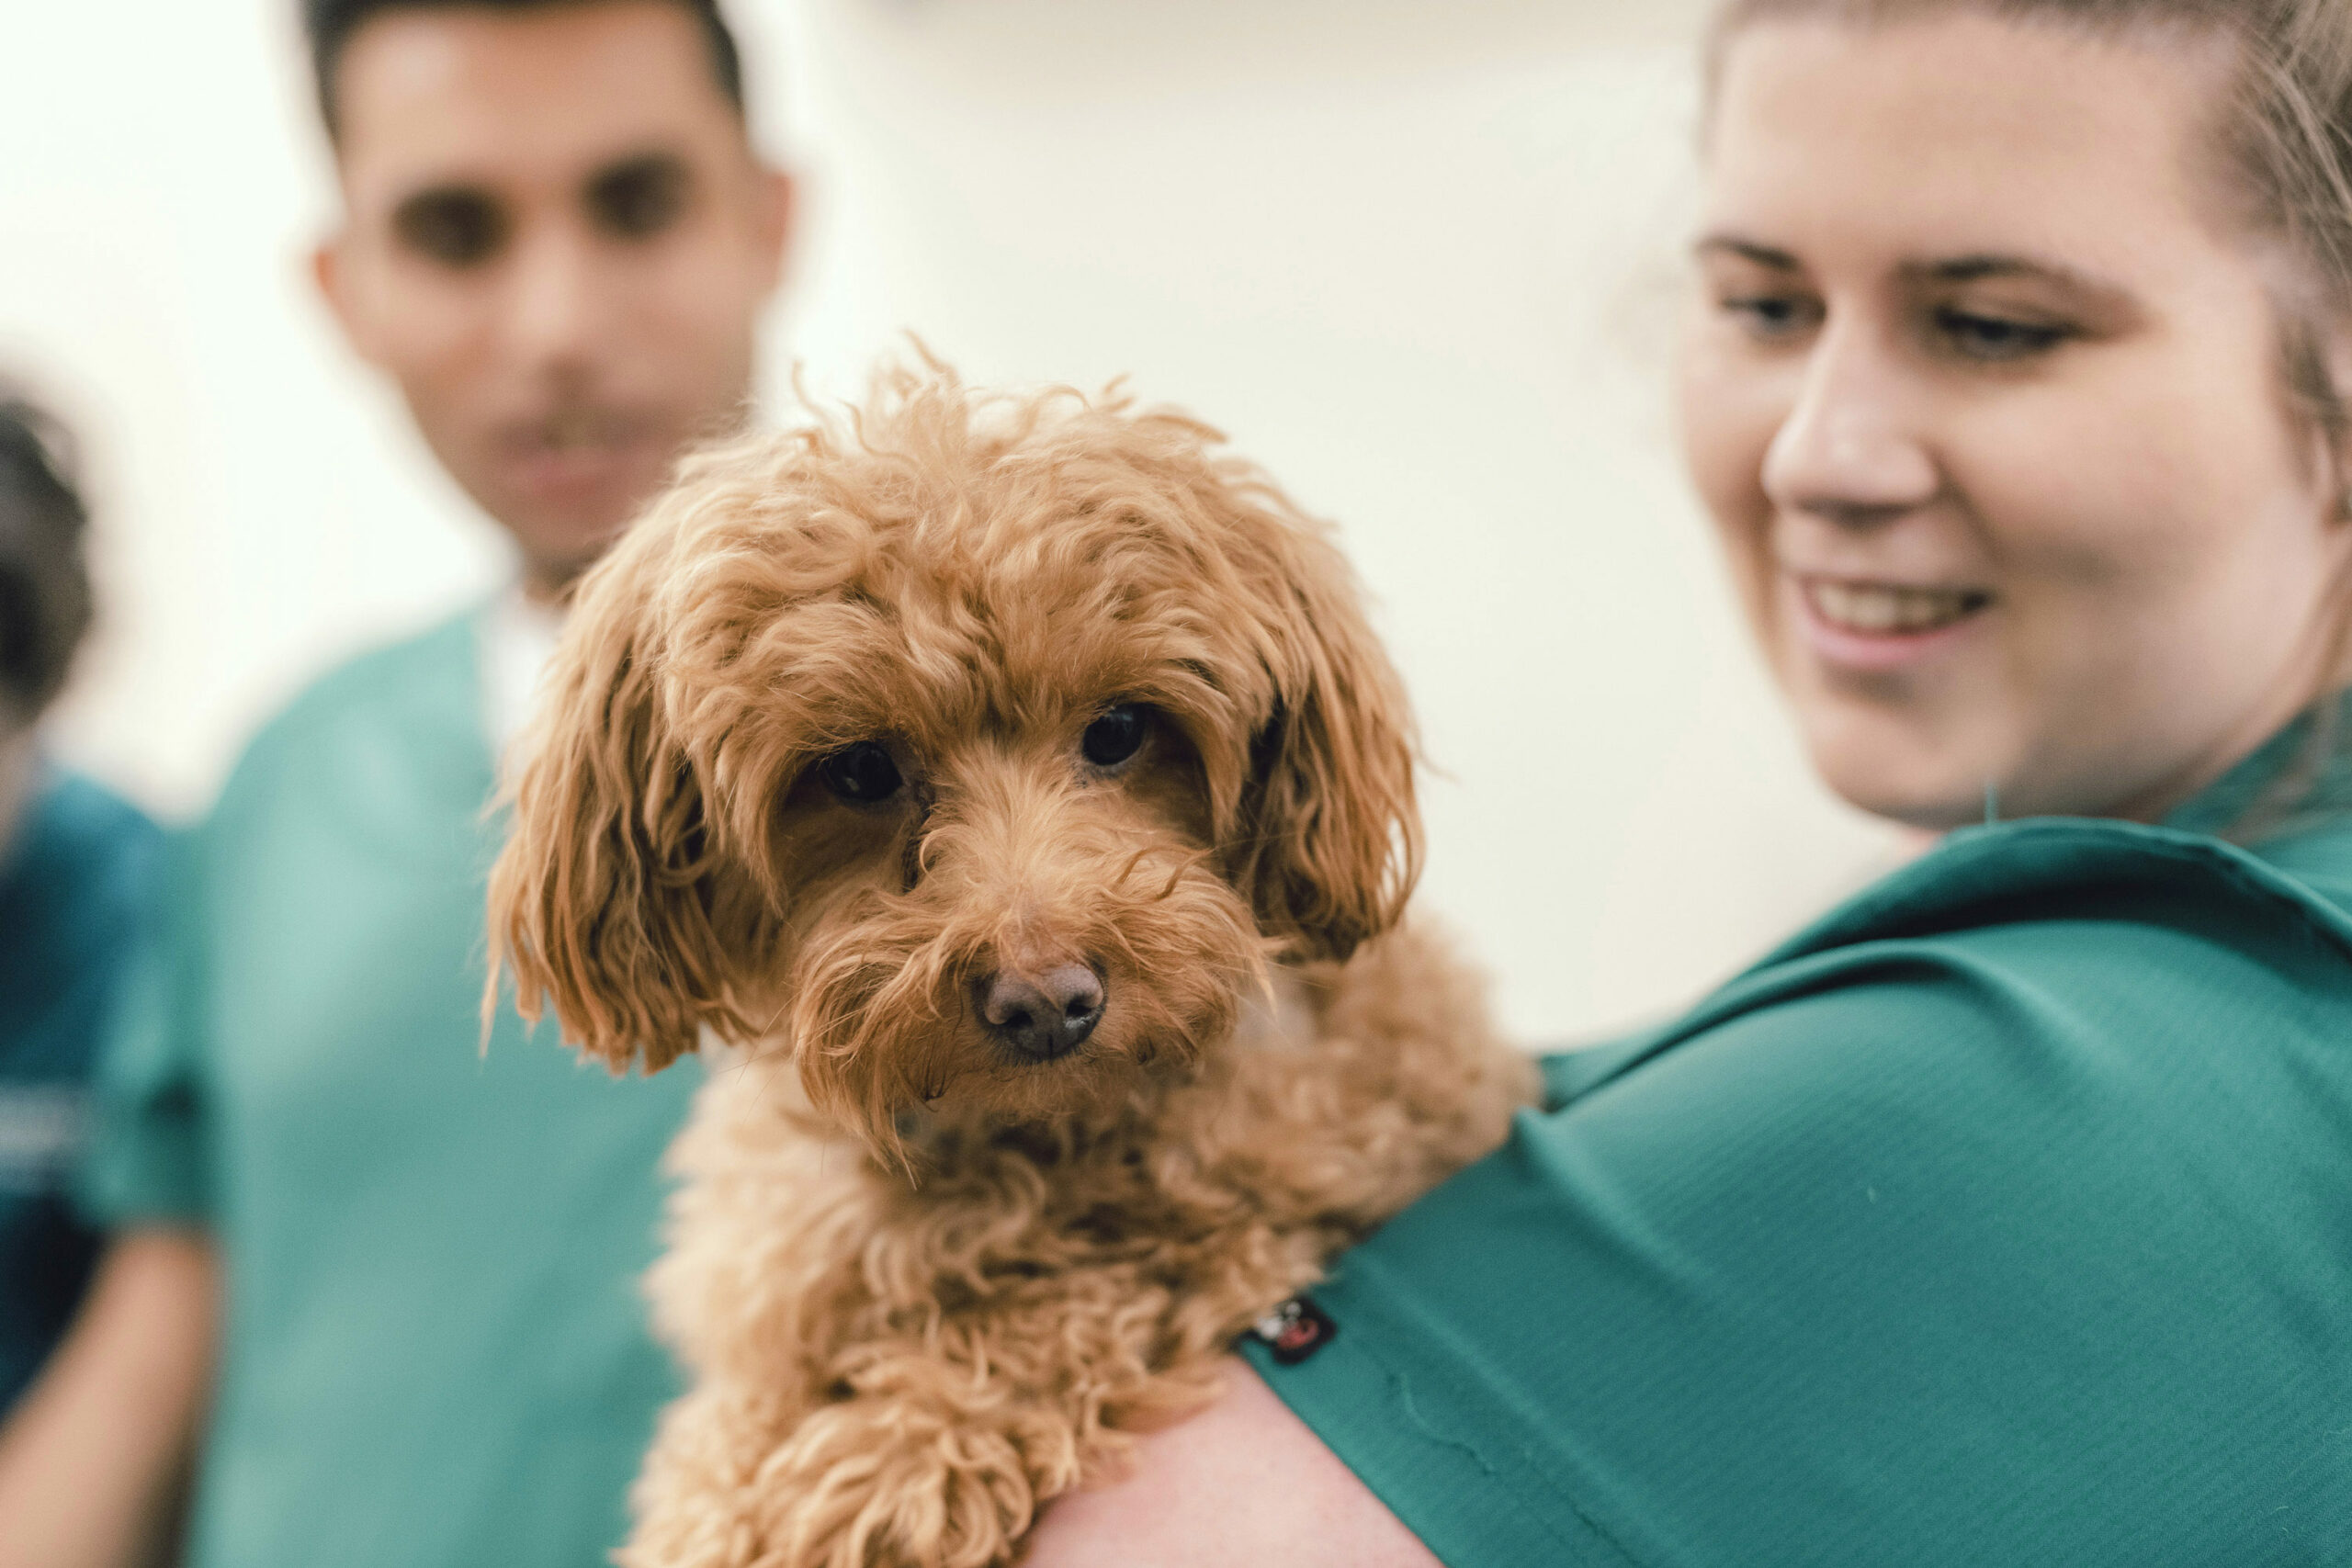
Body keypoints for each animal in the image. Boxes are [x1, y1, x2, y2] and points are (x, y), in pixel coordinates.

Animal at [486, 364, 1533, 1568]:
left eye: (1119, 731)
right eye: (858, 770)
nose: (1047, 1004)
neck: (1012, 1145)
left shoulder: (1274, 1223)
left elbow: (1056, 1310)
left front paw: (858, 1474)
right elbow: (713, 1459)